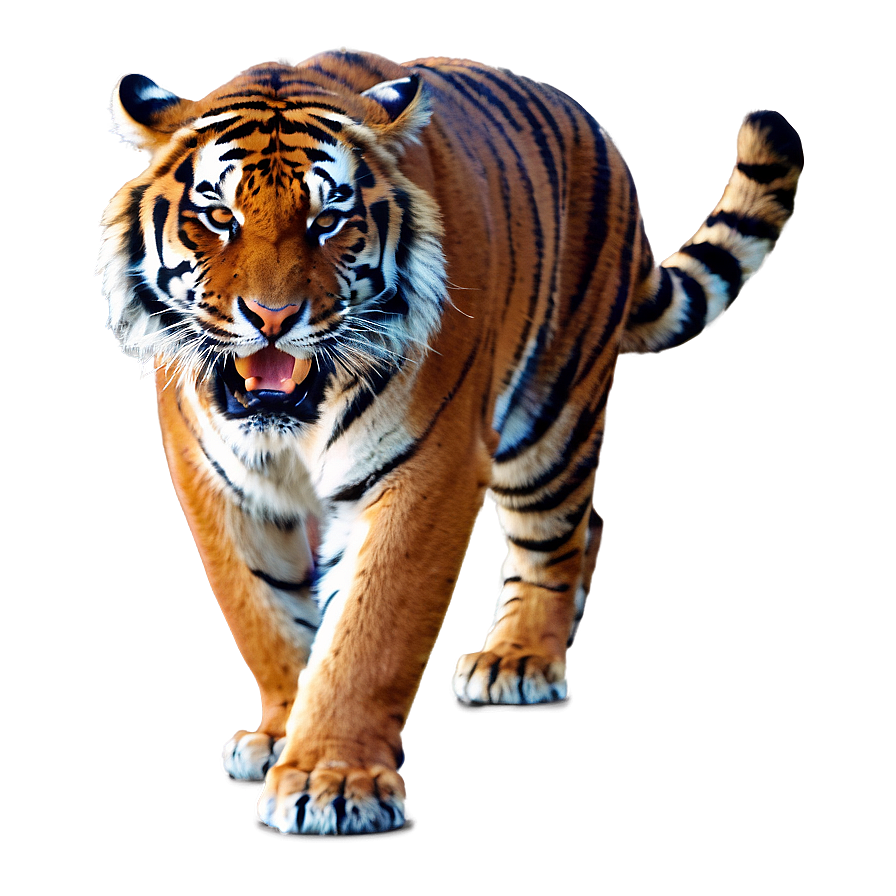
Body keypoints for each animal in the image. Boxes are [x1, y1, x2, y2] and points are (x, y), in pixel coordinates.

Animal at [97, 48, 802, 836]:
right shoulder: (218, 482)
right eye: (218, 216)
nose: (272, 317)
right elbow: (265, 614)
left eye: (328, 219)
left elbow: (369, 629)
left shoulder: (424, 469)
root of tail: (592, 128)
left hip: (553, 420)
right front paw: (283, 731)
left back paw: (519, 658)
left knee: (556, 539)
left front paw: (331, 778)